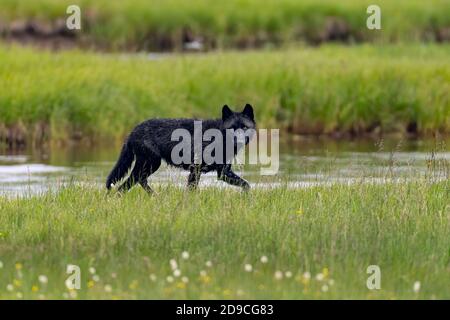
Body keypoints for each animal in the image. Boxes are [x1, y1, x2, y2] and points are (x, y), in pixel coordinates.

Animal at [103, 104, 255, 192]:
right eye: (232, 128)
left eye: (244, 127)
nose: (239, 139)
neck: (217, 137)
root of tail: (133, 131)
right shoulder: (196, 170)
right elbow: (191, 191)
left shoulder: (223, 172)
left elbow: (246, 185)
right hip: (151, 163)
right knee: (132, 182)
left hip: (148, 165)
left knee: (130, 184)